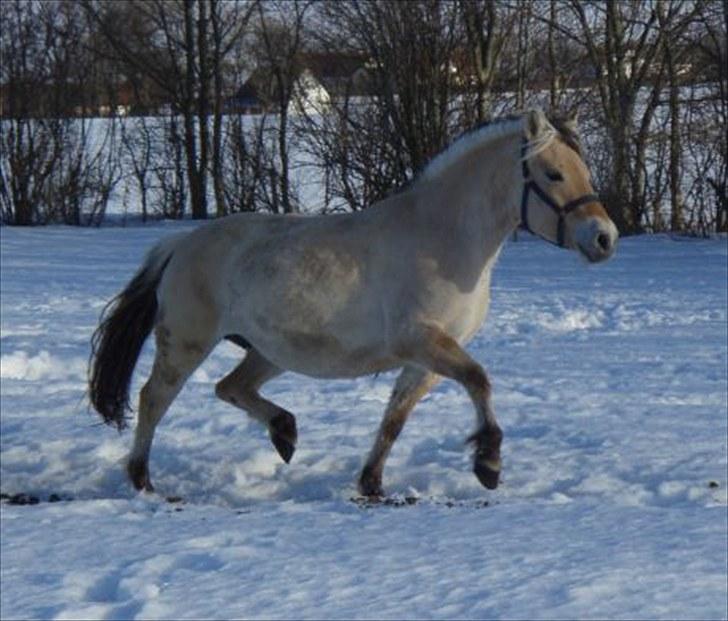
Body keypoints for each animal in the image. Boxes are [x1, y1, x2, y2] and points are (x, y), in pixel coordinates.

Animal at [88, 109, 616, 496]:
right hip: (187, 343)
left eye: (583, 171)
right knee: (153, 398)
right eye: (553, 173)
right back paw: (143, 481)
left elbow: (394, 421)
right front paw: (488, 463)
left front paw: (372, 484)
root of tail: (179, 244)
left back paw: (285, 433)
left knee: (229, 387)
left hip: (270, 352)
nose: (604, 238)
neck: (443, 239)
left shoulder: (424, 360)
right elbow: (479, 381)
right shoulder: (421, 342)